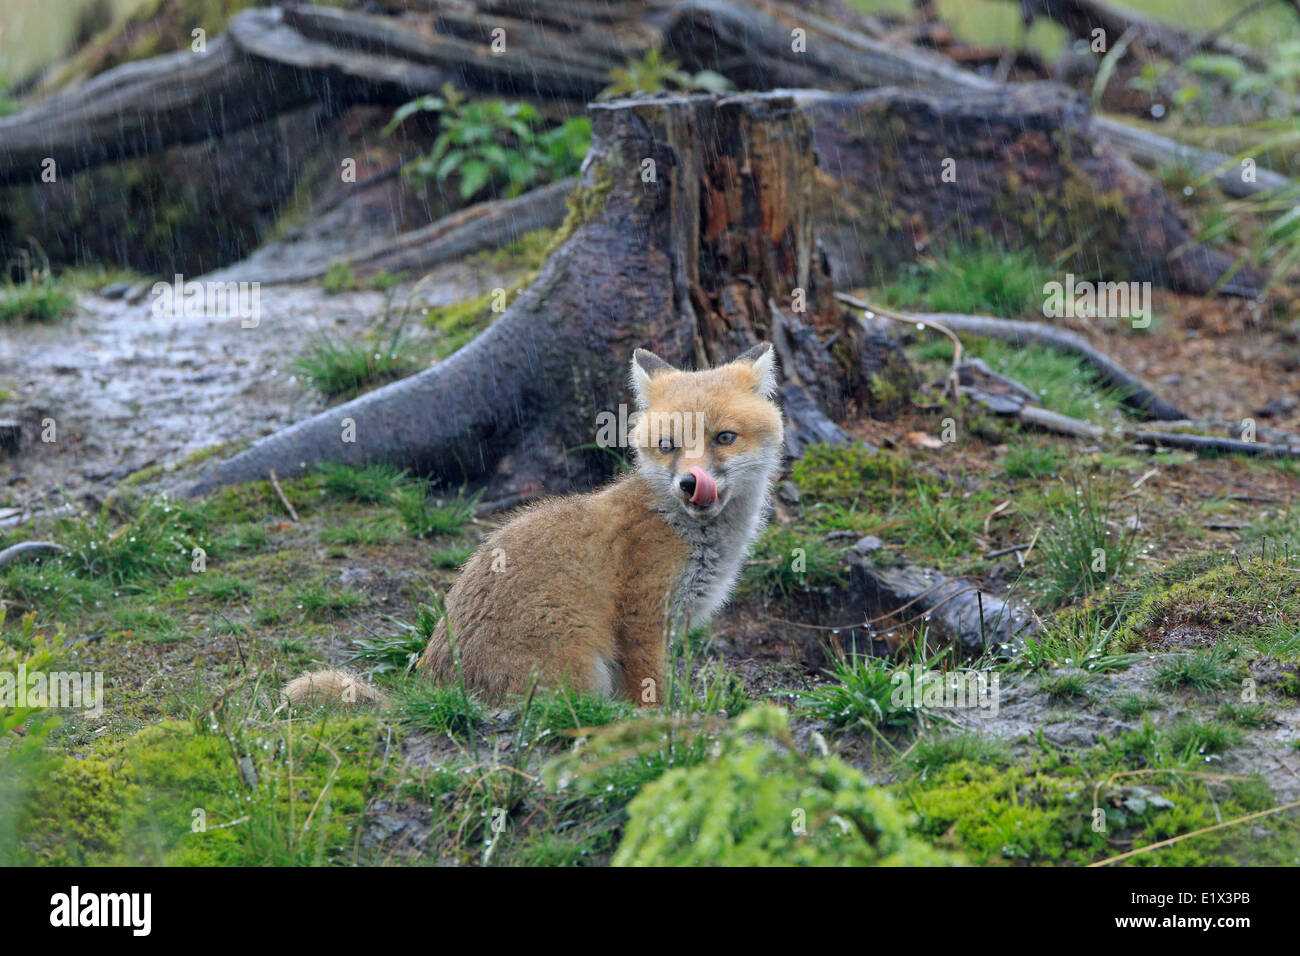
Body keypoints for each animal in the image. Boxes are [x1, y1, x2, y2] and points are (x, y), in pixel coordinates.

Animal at [283, 342, 783, 707]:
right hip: (580, 665)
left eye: (724, 438)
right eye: (667, 445)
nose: (689, 483)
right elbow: (650, 692)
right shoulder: (642, 620)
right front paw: (660, 724)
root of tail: (435, 693)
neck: (687, 533)